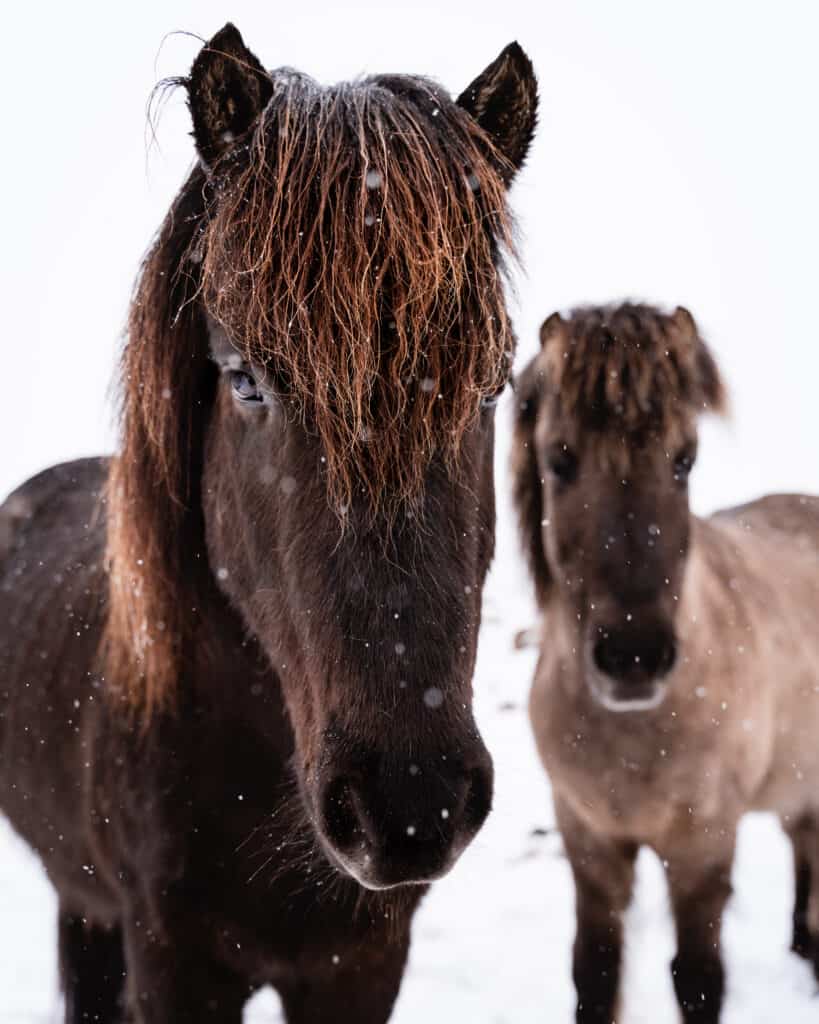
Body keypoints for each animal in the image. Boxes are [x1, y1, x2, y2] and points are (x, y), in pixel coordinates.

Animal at [0, 25, 536, 1024]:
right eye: (247, 379)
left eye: (493, 385)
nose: (409, 801)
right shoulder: (170, 963)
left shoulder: (358, 966)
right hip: (83, 902)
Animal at [515, 299, 818, 1019]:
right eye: (559, 459)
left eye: (685, 459)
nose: (633, 658)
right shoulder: (589, 840)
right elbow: (594, 973)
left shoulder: (702, 844)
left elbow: (698, 977)